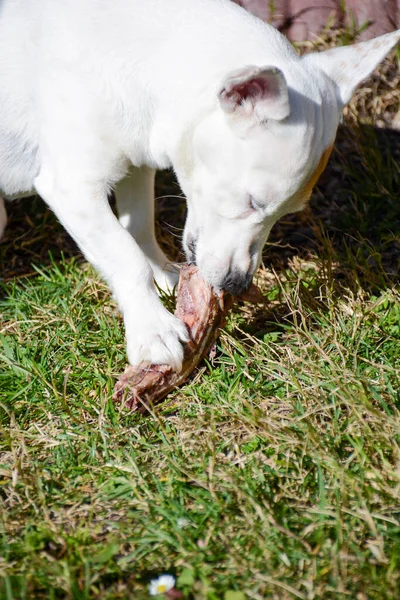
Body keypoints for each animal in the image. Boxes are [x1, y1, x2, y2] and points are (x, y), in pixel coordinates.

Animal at [0, 1, 398, 370]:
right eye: (251, 202)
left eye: (285, 214)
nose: (237, 285)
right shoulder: (73, 188)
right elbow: (125, 255)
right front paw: (153, 330)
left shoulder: (136, 166)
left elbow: (138, 227)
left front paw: (164, 276)